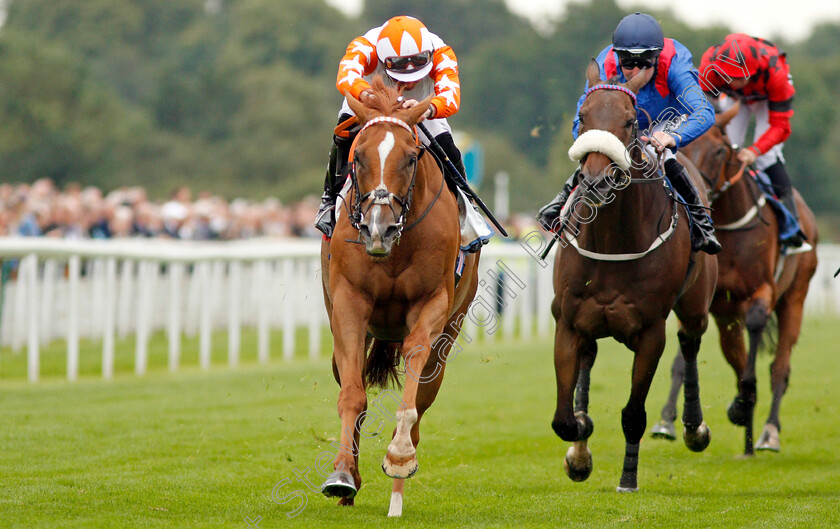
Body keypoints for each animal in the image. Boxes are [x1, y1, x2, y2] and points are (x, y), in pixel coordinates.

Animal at [320, 78, 480, 516]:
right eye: (357, 156)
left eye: (410, 159)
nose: (379, 228)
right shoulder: (348, 304)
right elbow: (352, 396)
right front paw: (342, 476)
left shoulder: (432, 304)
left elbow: (412, 384)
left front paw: (399, 457)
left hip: (452, 328)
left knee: (423, 397)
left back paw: (396, 495)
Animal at [548, 60, 720, 490]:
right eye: (583, 116)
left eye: (629, 122)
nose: (595, 182)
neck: (613, 241)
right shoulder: (569, 322)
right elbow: (565, 420)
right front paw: (579, 447)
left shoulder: (650, 332)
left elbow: (633, 414)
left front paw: (628, 478)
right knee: (589, 359)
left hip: (695, 305)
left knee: (690, 342)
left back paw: (694, 427)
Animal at [648, 104, 820, 454]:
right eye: (683, 147)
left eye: (718, 150)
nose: (695, 190)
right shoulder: (715, 304)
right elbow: (707, 359)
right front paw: (668, 420)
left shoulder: (762, 290)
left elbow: (754, 331)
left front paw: (744, 404)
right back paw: (748, 438)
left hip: (794, 297)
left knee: (780, 368)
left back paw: (768, 433)